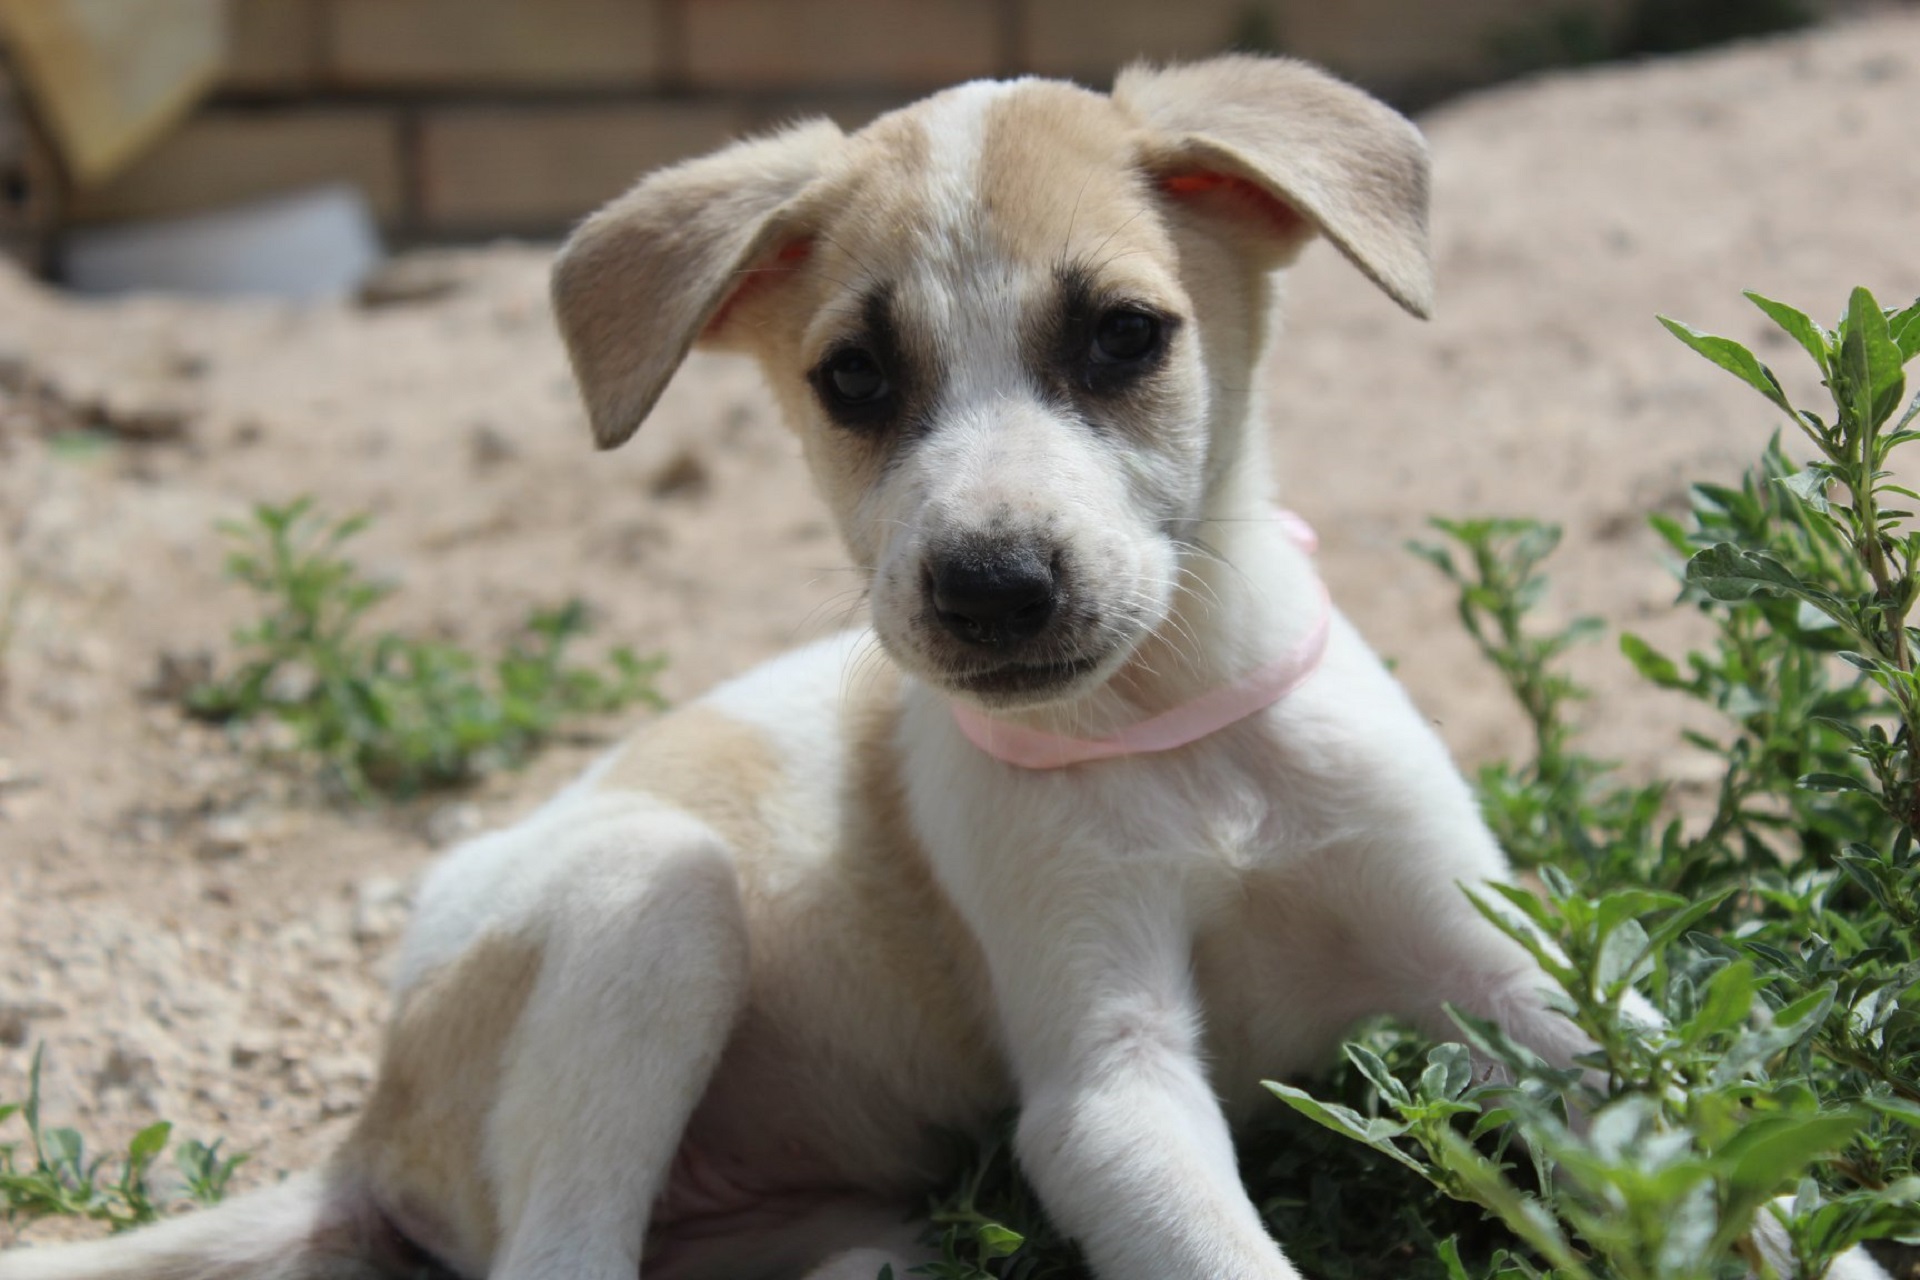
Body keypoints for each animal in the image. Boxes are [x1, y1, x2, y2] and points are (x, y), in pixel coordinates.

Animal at [0, 57, 1605, 1280]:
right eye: (853, 379)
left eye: (1123, 335)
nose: (992, 587)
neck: (1176, 735)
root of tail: (367, 1130)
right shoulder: (1107, 1078)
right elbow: (1217, 1246)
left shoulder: (1497, 957)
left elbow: (1646, 1085)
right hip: (652, 893)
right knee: (560, 1255)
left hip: (859, 1221)